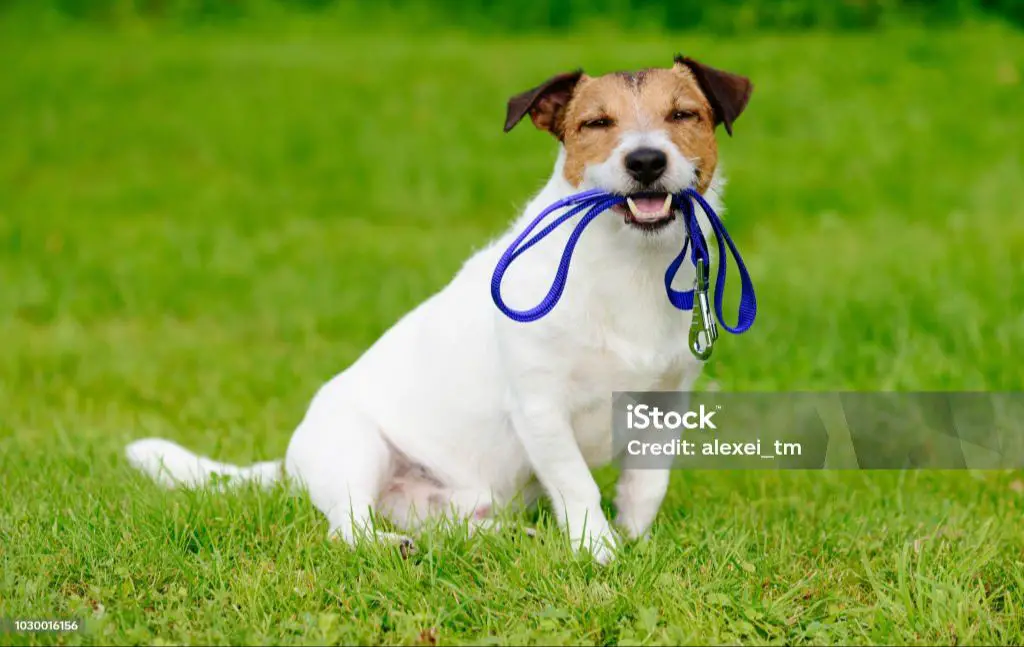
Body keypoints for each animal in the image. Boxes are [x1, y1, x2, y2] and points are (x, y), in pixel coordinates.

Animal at [128, 55, 753, 565]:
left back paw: (504, 538)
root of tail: (288, 464)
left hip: (446, 498)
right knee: (347, 527)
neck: (628, 266)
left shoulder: (666, 402)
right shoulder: (540, 406)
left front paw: (635, 542)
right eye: (596, 124)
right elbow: (576, 484)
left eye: (683, 114)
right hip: (356, 449)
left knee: (452, 524)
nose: (646, 161)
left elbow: (647, 486)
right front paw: (598, 551)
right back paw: (392, 546)